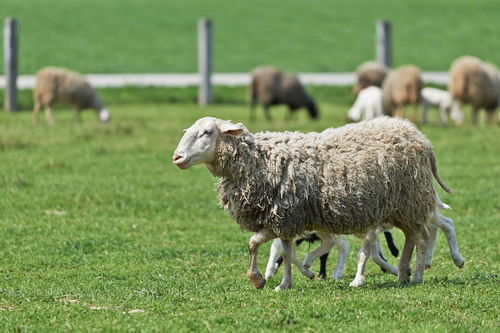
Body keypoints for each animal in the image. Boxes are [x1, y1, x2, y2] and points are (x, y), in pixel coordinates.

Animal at [174, 116, 456, 290]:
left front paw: (259, 279)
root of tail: (417, 135)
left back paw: (415, 274)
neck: (258, 160)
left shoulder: (284, 215)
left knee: (420, 238)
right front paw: (282, 283)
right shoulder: (281, 218)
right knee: (412, 238)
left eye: (207, 132)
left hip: (411, 201)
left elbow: (261, 245)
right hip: (402, 207)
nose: (176, 157)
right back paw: (404, 274)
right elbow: (279, 249)